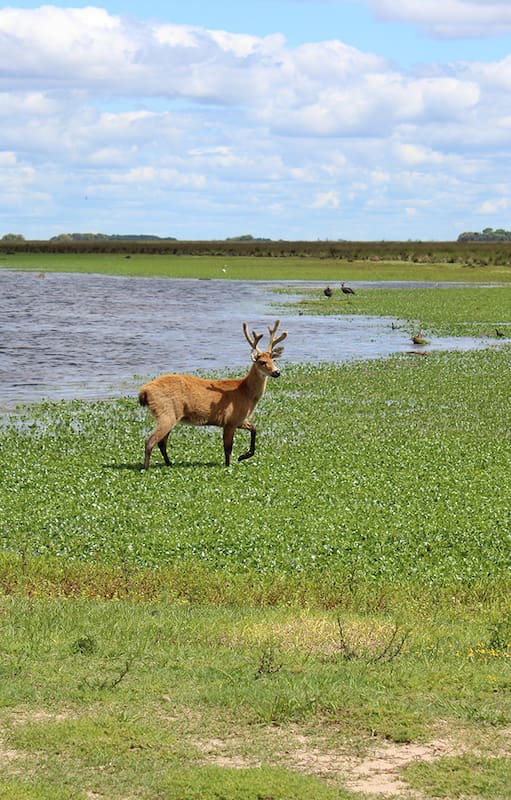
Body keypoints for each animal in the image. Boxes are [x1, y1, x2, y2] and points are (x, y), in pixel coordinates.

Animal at [138, 319, 287, 470]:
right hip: (165, 412)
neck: (246, 393)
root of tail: (144, 391)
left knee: (161, 442)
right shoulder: (230, 420)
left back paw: (169, 463)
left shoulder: (239, 420)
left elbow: (254, 429)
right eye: (262, 362)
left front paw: (243, 456)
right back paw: (146, 468)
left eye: (274, 360)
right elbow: (228, 448)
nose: (277, 372)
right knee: (150, 440)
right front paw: (229, 465)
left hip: (171, 415)